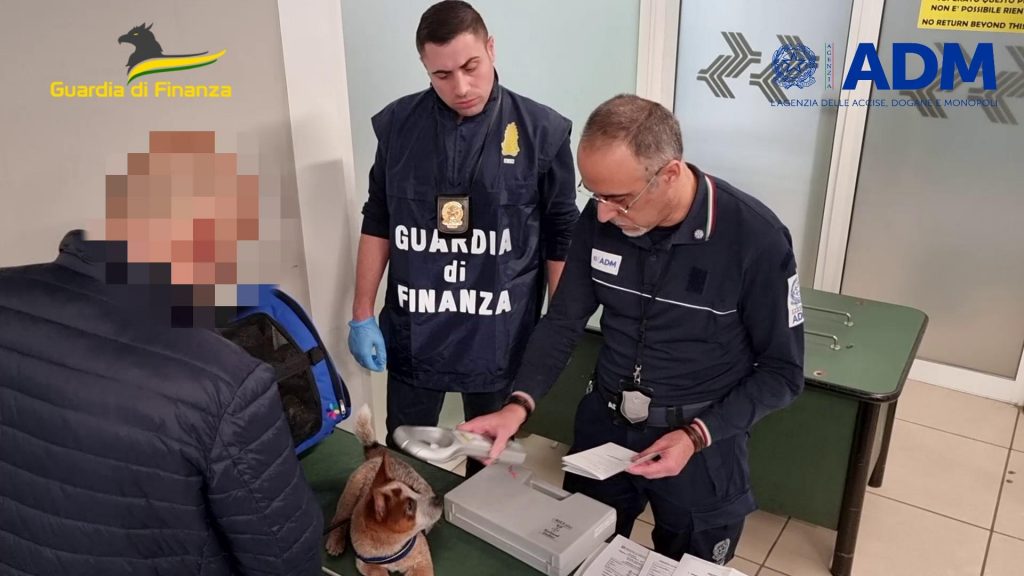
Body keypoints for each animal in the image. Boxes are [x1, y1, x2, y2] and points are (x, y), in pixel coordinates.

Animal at [325, 405, 443, 575]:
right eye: (409, 506)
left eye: (414, 489)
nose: (438, 498)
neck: (392, 546)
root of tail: (378, 457)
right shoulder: (366, 564)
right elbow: (378, 572)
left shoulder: (422, 560)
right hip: (349, 497)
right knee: (338, 520)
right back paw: (335, 541)